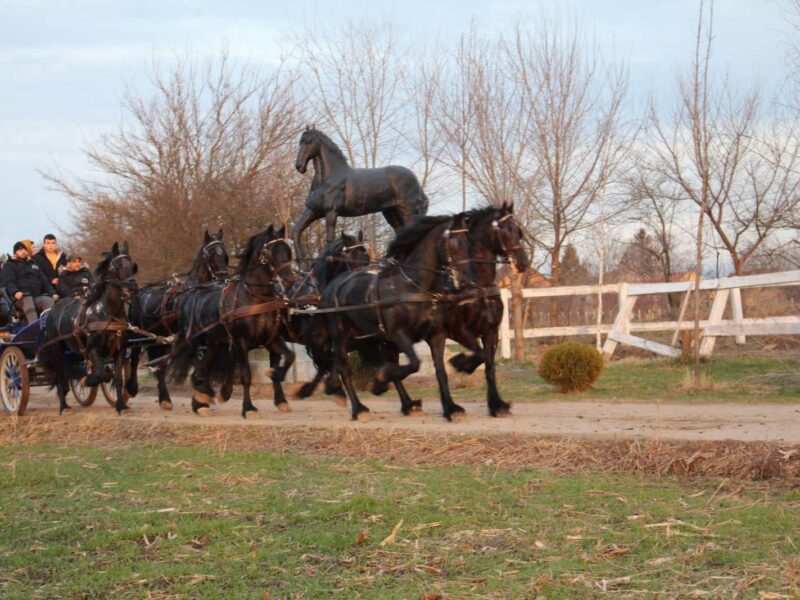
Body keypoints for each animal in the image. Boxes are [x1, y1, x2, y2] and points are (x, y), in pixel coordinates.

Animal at [37, 241, 138, 414]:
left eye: (133, 266)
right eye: (117, 266)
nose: (132, 289)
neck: (107, 313)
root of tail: (53, 309)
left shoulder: (119, 351)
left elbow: (117, 378)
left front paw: (120, 405)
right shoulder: (93, 350)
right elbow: (102, 374)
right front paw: (88, 379)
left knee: (66, 372)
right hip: (56, 350)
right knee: (59, 374)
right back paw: (63, 405)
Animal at [127, 227, 228, 410]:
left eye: (224, 254)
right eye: (211, 255)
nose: (224, 277)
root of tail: (140, 294)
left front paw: (204, 395)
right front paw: (201, 398)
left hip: (160, 340)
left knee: (160, 366)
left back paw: (165, 399)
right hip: (139, 335)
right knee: (134, 358)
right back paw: (131, 388)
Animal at [169, 225, 294, 418]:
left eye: (288, 251)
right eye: (270, 252)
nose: (290, 279)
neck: (256, 297)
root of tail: (192, 294)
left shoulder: (271, 340)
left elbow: (289, 356)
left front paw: (279, 387)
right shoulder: (240, 342)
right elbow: (246, 375)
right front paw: (248, 408)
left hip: (213, 344)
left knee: (203, 368)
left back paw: (202, 400)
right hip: (196, 341)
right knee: (196, 368)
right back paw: (201, 398)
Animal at [292, 125, 432, 258]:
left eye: (309, 142)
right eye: (300, 142)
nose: (299, 166)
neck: (329, 177)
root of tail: (415, 181)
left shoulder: (331, 211)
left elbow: (329, 239)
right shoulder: (314, 210)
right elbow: (296, 230)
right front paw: (300, 260)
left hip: (407, 210)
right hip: (391, 212)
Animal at [318, 213, 472, 420]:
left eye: (467, 241)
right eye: (454, 242)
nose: (464, 280)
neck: (413, 286)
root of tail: (333, 286)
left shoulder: (436, 335)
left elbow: (440, 371)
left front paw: (451, 408)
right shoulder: (399, 334)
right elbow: (414, 364)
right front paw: (380, 379)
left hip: (364, 338)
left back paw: (407, 403)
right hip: (342, 335)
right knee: (345, 369)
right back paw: (359, 408)